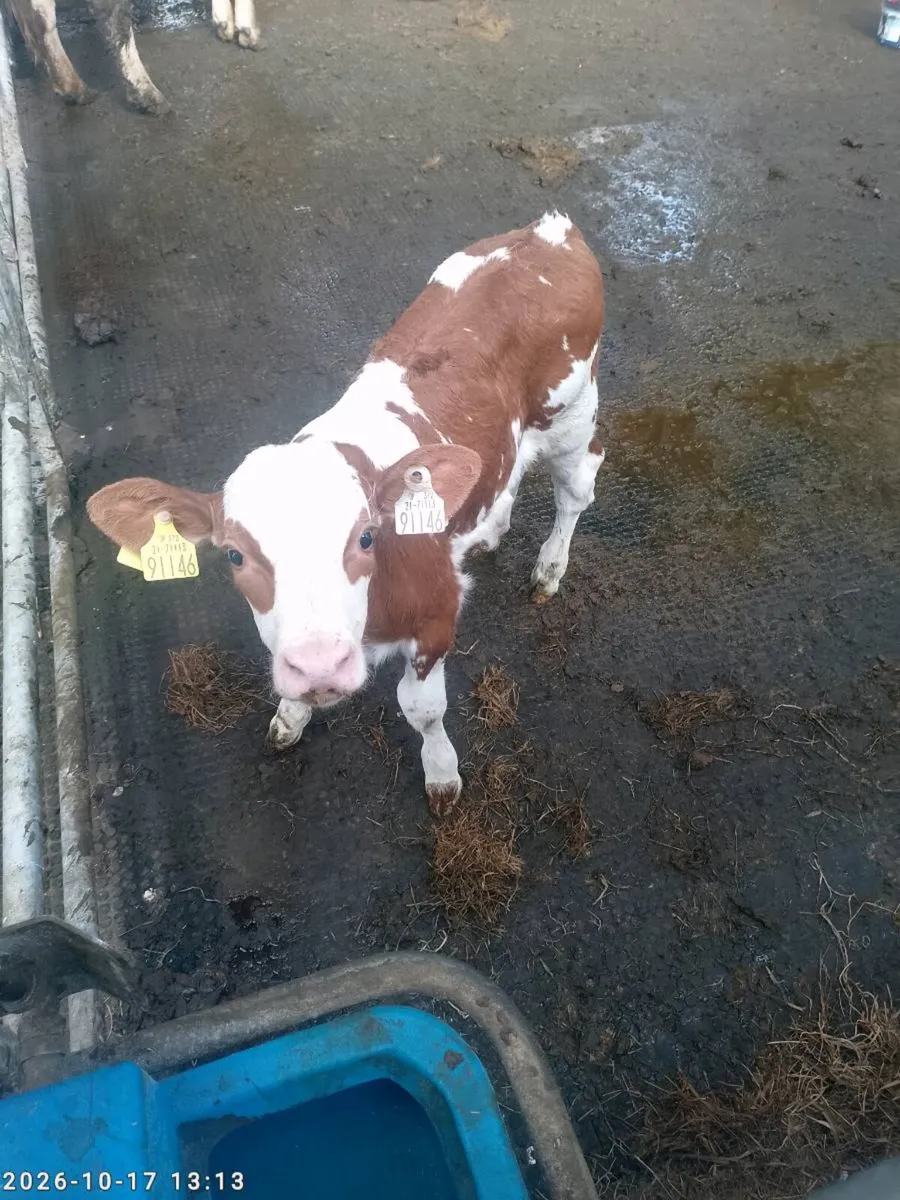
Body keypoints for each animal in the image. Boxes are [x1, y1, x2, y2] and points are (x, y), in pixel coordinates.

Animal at [87, 212, 606, 813]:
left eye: (366, 538)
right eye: (235, 555)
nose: (319, 665)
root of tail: (550, 230)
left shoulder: (436, 618)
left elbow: (423, 709)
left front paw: (441, 774)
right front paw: (291, 715)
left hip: (571, 411)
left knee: (576, 487)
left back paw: (550, 567)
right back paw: (489, 530)